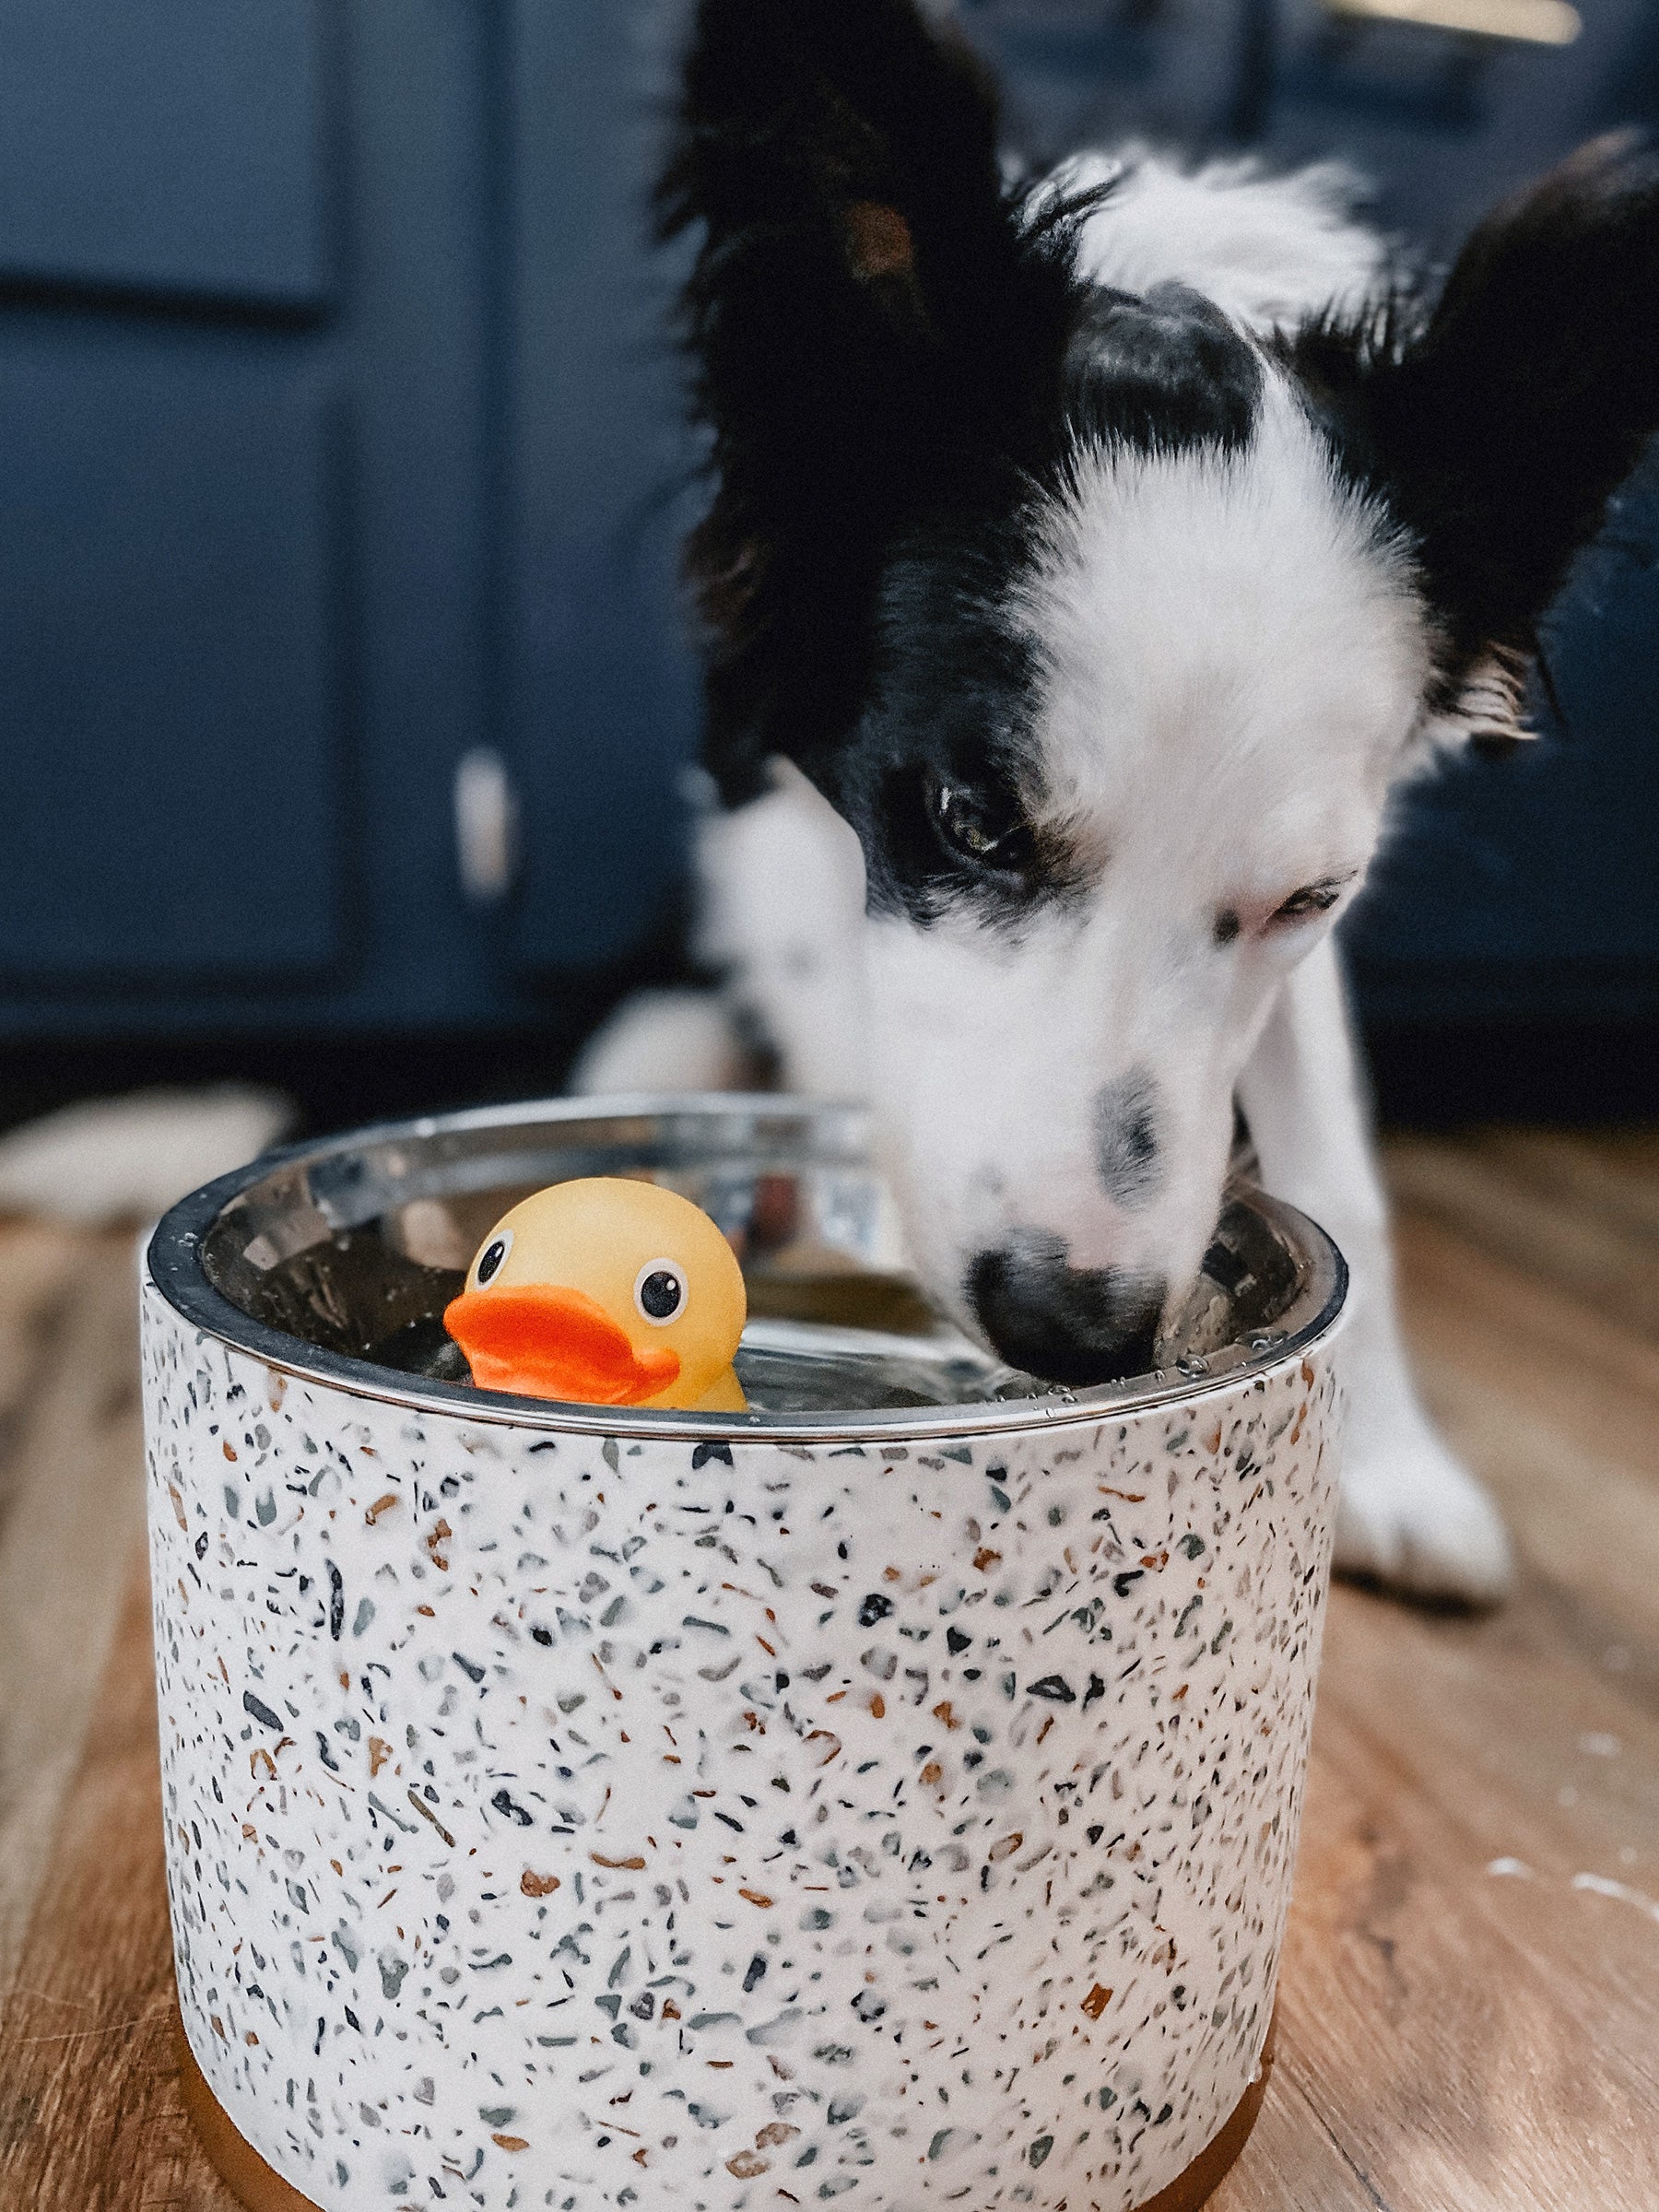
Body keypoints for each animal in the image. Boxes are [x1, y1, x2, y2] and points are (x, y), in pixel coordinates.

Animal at [575, 0, 1659, 1601]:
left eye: (1310, 896)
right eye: (968, 818)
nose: (1071, 1331)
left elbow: (1343, 1157)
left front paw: (1395, 1462)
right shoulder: (784, 798)